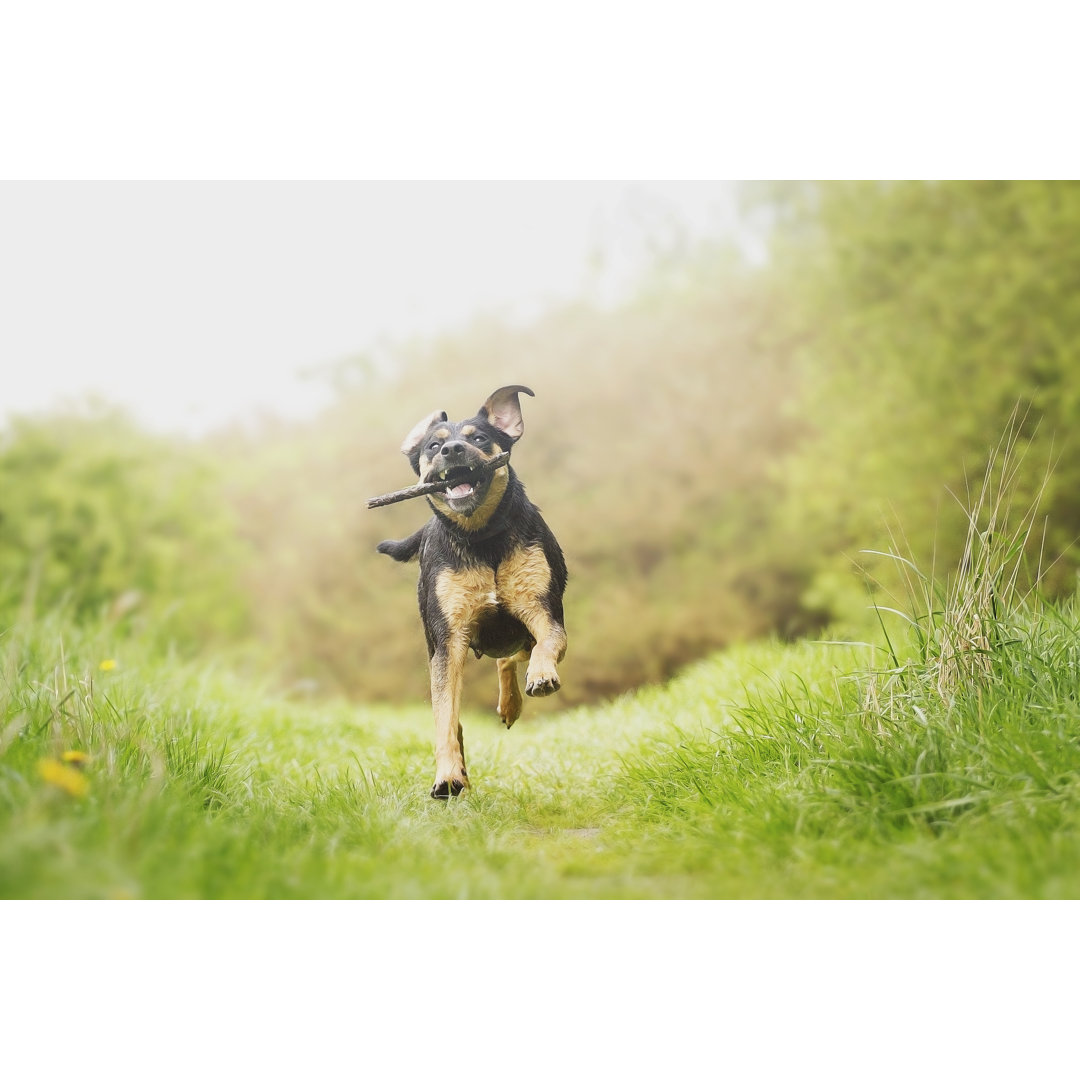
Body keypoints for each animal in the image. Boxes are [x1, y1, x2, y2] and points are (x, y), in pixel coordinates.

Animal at [378, 384, 570, 799]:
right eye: (433, 446)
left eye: (479, 438)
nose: (452, 450)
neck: (481, 537)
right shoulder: (448, 641)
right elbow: (445, 718)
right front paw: (448, 774)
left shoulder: (542, 609)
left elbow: (548, 642)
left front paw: (541, 676)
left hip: (518, 630)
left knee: (511, 657)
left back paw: (512, 702)